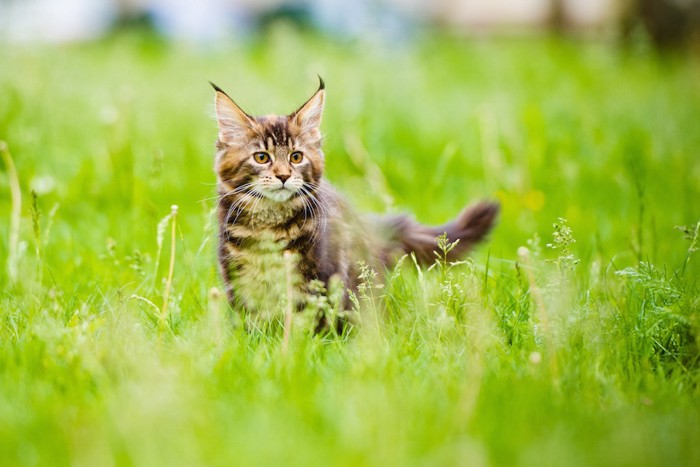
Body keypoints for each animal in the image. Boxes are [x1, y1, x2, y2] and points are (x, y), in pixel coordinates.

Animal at [211, 77, 500, 328]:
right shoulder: (239, 279)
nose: (283, 176)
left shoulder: (318, 280)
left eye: (296, 157)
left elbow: (307, 323)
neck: (269, 226)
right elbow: (253, 322)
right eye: (261, 157)